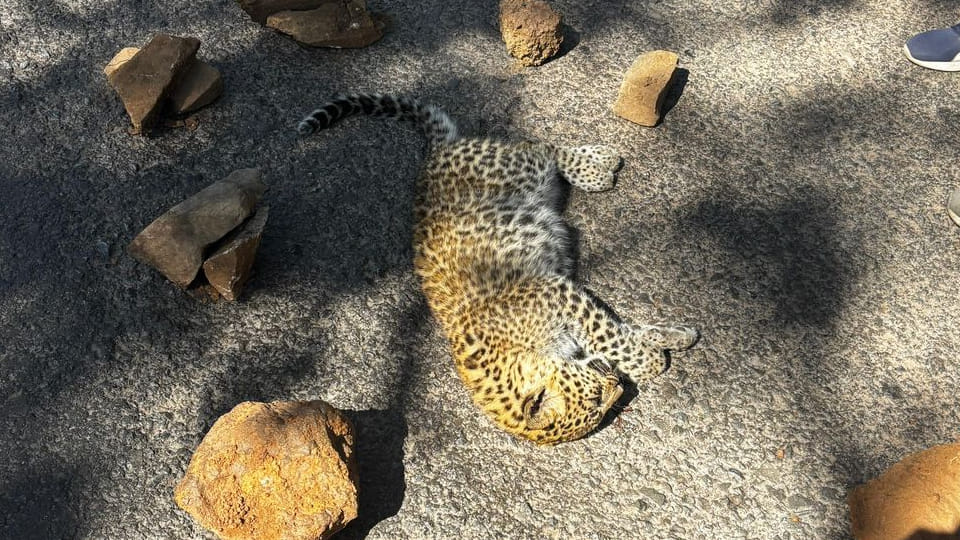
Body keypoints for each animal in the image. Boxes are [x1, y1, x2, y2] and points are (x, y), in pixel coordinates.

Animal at [297, 93, 698, 445]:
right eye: (598, 406)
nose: (618, 387)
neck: (513, 354)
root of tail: (436, 154)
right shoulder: (565, 302)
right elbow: (615, 333)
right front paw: (669, 340)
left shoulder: (557, 293)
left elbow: (610, 336)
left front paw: (651, 358)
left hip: (518, 171)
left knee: (541, 146)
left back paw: (599, 165)